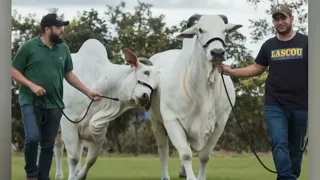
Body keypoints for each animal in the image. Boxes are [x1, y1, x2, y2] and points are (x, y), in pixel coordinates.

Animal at [52, 39, 160, 180]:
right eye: (146, 72)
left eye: (156, 85)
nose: (145, 97)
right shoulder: (68, 123)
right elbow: (73, 158)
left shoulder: (99, 128)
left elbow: (91, 159)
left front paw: (79, 175)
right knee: (58, 147)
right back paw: (59, 175)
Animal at [148, 14, 242, 180]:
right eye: (200, 30)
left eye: (224, 30)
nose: (218, 52)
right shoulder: (172, 121)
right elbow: (185, 154)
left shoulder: (219, 125)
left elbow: (205, 156)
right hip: (156, 121)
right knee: (163, 149)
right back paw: (166, 176)